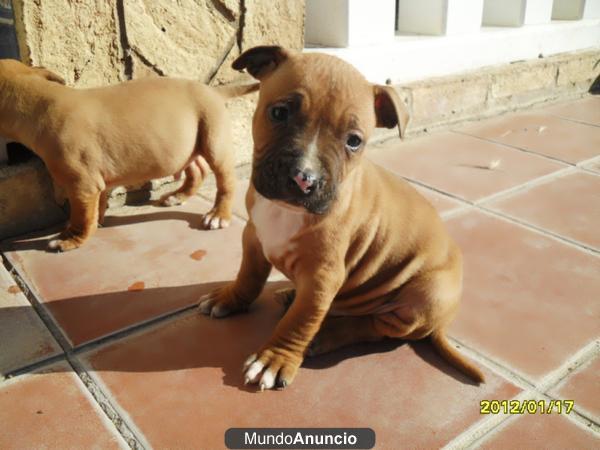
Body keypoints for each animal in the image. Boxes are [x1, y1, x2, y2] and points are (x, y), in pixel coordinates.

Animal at [0, 58, 258, 251]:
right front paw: (98, 221)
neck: (38, 100)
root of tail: (214, 91)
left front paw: (70, 239)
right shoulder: (95, 183)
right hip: (185, 146)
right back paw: (178, 196)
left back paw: (218, 215)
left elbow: (81, 216)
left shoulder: (82, 185)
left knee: (225, 181)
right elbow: (96, 207)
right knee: (196, 169)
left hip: (215, 140)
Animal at [199, 46, 486, 390]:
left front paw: (275, 359)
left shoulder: (323, 277)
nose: (304, 179)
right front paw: (230, 298)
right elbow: (249, 277)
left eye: (354, 141)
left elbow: (300, 321)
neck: (286, 211)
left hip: (424, 297)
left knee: (373, 328)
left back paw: (326, 335)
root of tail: (443, 322)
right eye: (279, 113)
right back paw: (291, 294)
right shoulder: (254, 238)